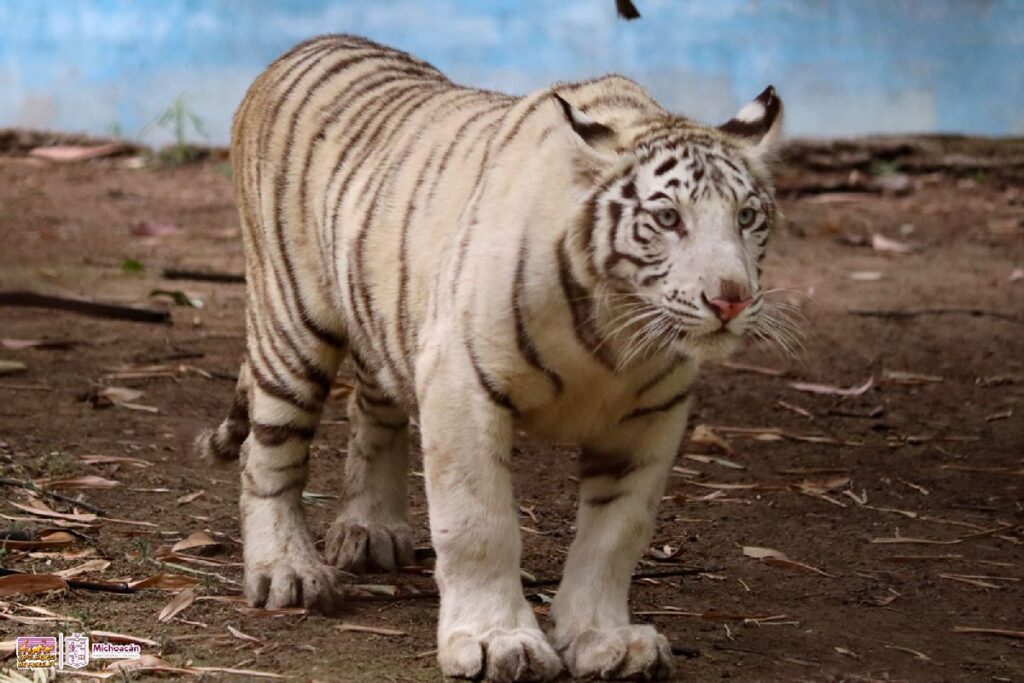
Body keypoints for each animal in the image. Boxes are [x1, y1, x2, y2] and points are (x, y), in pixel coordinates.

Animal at [199, 33, 786, 683]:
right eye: (666, 218)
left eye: (746, 217)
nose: (731, 299)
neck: (615, 329)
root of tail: (305, 45)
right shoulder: (462, 385)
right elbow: (478, 524)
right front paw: (496, 641)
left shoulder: (650, 417)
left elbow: (616, 534)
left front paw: (604, 639)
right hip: (291, 323)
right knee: (268, 453)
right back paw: (287, 571)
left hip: (386, 318)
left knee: (372, 413)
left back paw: (370, 529)